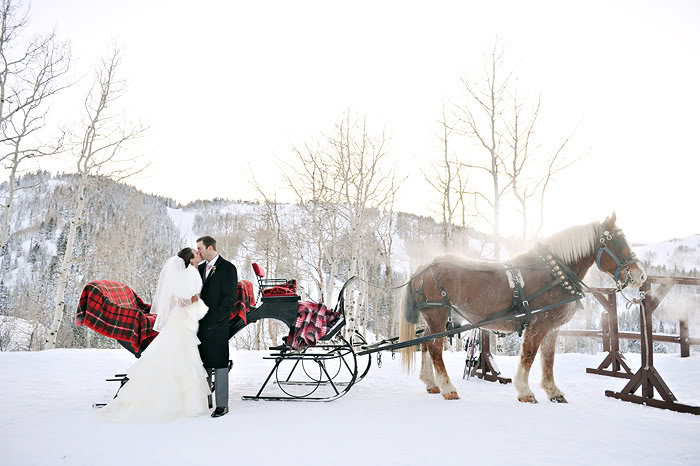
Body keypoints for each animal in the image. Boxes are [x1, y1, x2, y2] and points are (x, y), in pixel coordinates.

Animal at [400, 213, 644, 402]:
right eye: (617, 242)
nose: (640, 275)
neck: (554, 273)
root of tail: (422, 268)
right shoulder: (538, 324)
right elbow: (529, 354)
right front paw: (525, 391)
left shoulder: (552, 328)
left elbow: (548, 359)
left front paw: (553, 391)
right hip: (438, 315)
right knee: (434, 349)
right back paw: (448, 388)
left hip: (433, 318)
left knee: (425, 345)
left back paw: (431, 383)